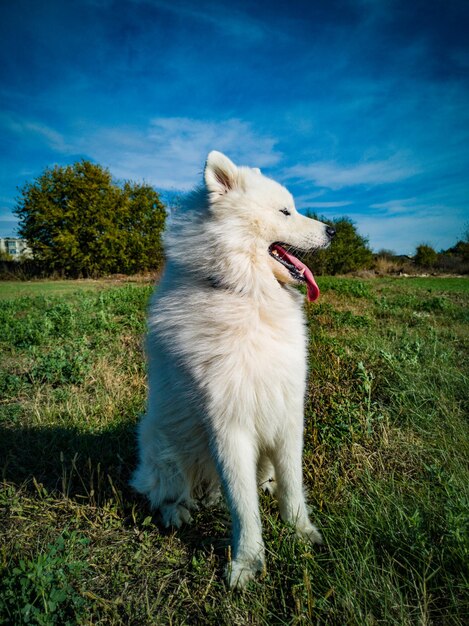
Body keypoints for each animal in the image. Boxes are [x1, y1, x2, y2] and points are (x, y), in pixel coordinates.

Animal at [130, 150, 334, 584]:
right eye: (285, 211)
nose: (333, 230)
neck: (248, 295)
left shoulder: (288, 412)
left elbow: (293, 484)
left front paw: (300, 531)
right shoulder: (228, 426)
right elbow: (243, 506)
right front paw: (247, 562)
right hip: (163, 447)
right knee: (166, 493)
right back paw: (178, 513)